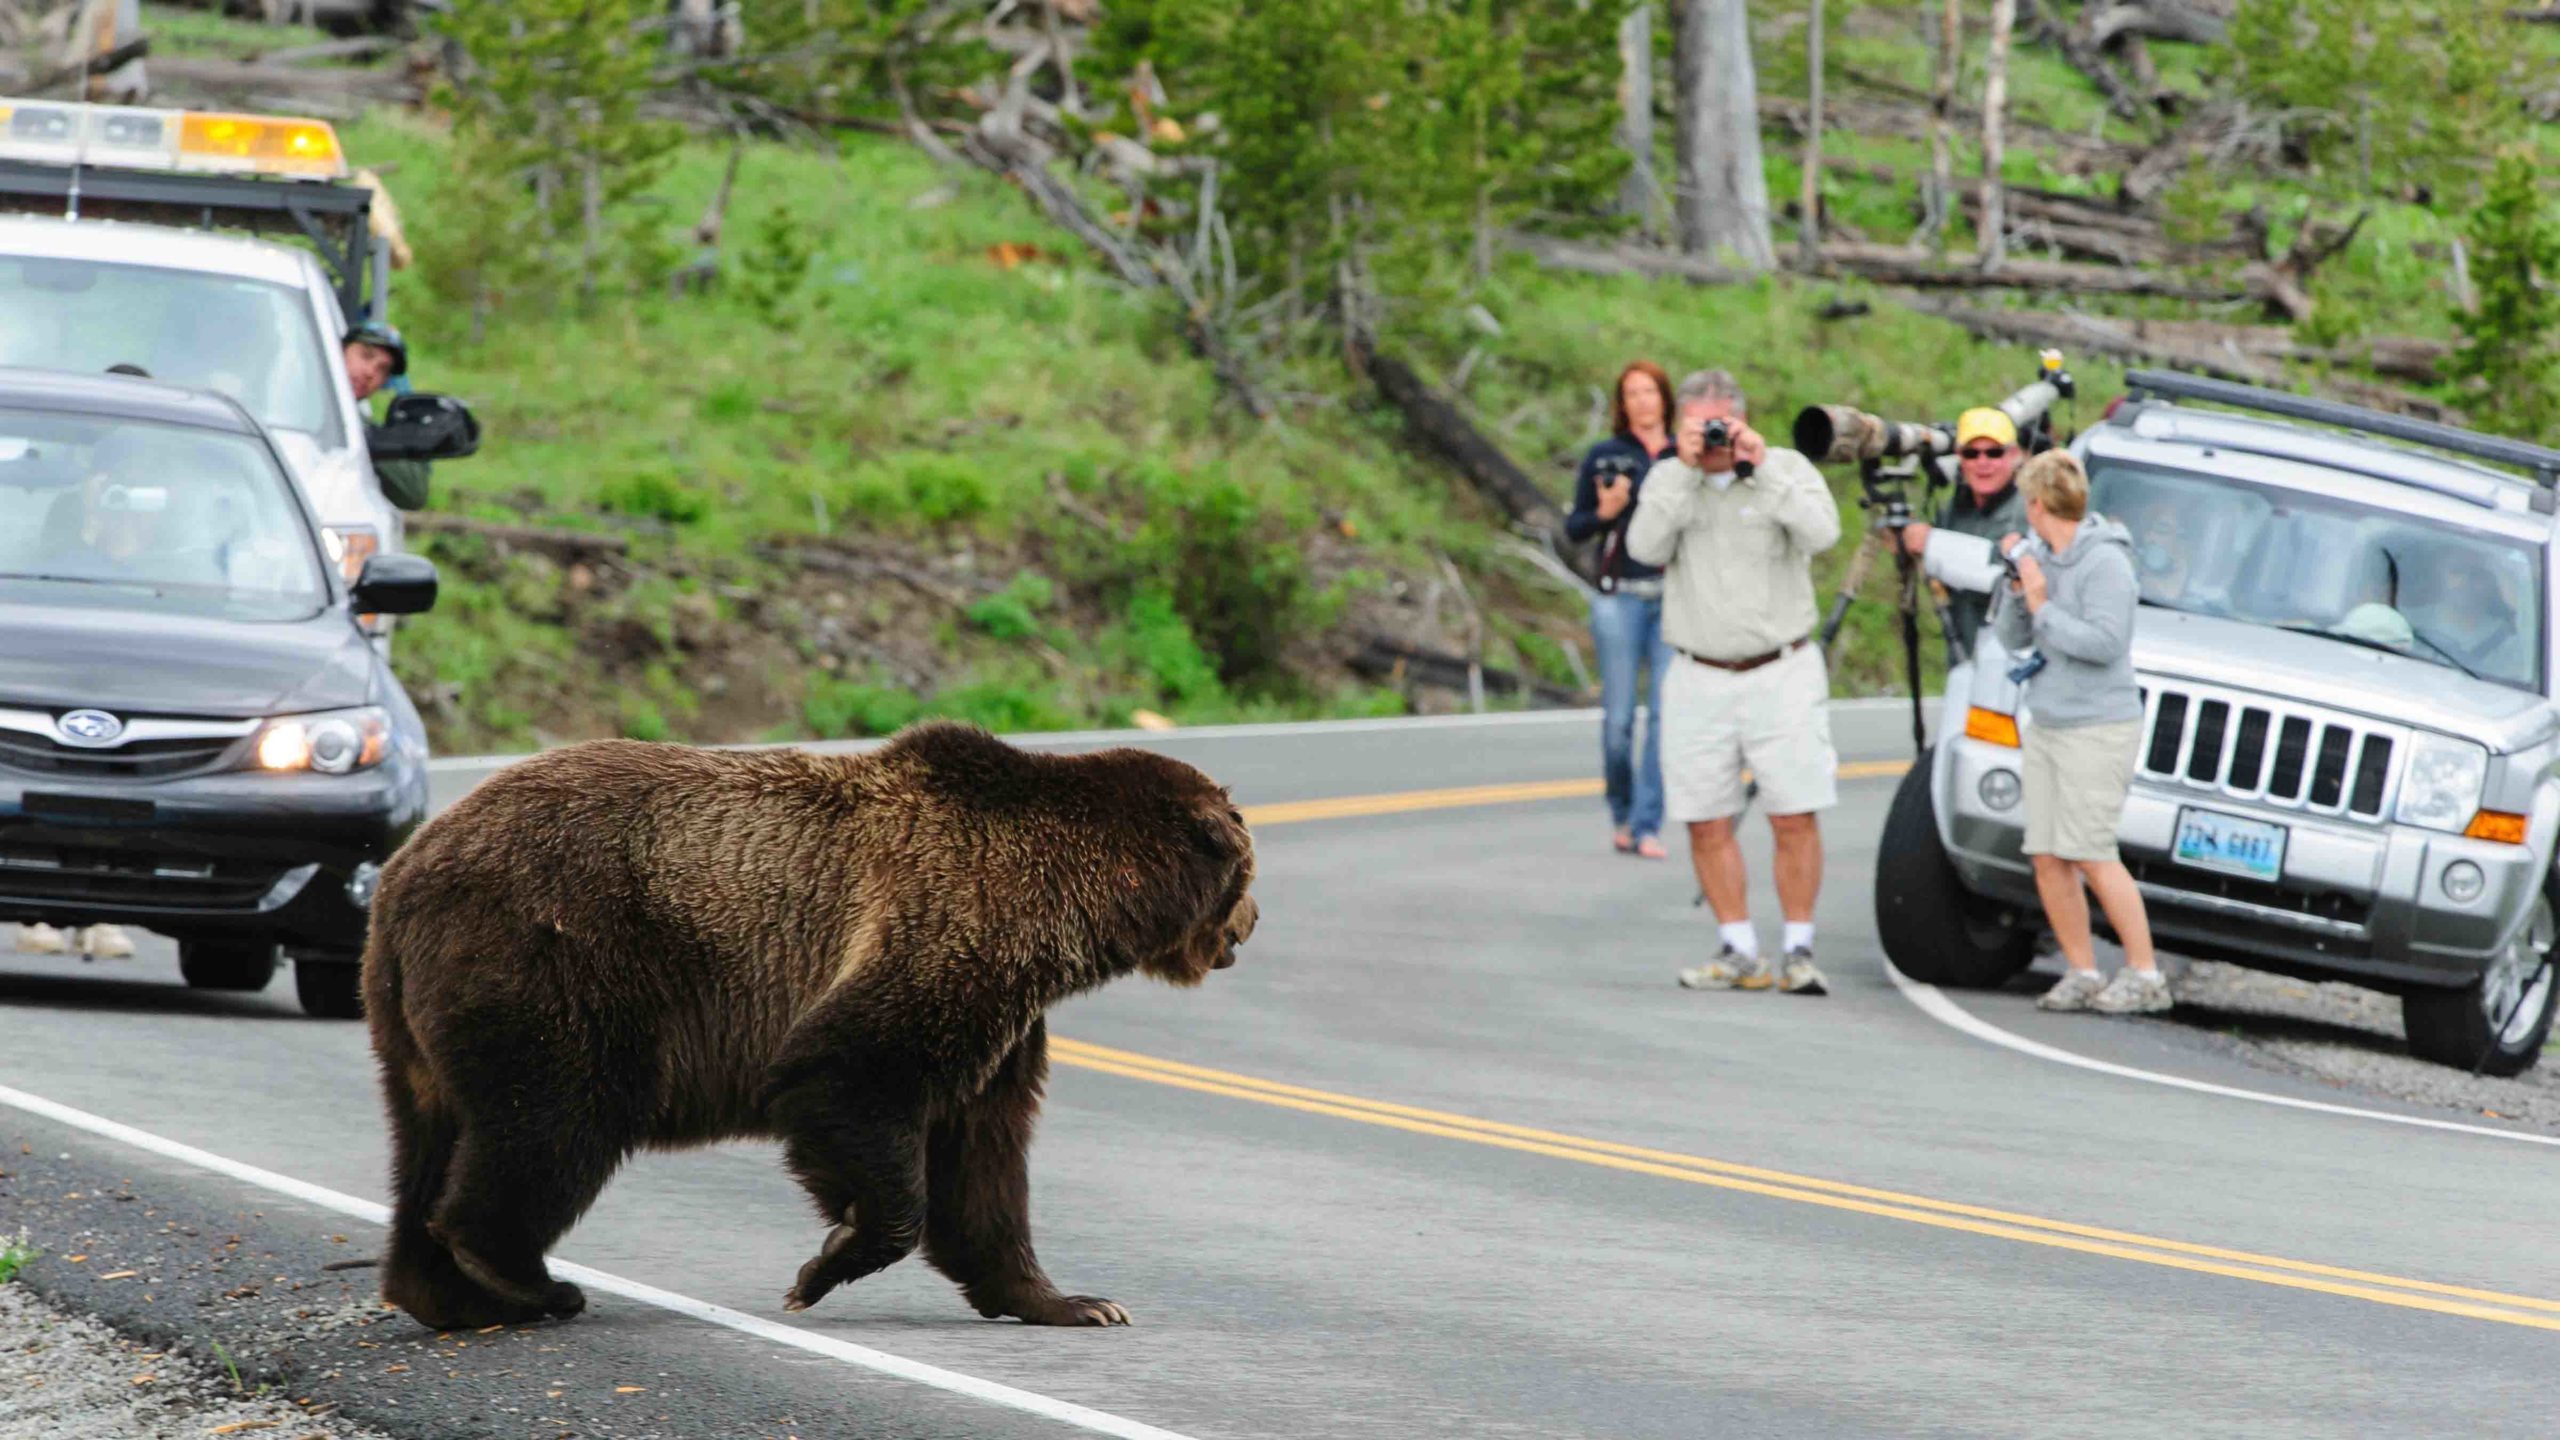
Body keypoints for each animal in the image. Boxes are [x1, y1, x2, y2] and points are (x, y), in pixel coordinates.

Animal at [361, 722, 1258, 1331]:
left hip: (416, 1018)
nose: (1249, 926)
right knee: (555, 1116)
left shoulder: (1006, 1018)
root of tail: (405, 871)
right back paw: (526, 1277)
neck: (1069, 908)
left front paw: (1073, 1300)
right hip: (557, 956)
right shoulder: (945, 928)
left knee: (431, 1136)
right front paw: (826, 1263)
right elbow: (847, 1074)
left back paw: (443, 1290)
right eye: (1247, 870)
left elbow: (985, 1158)